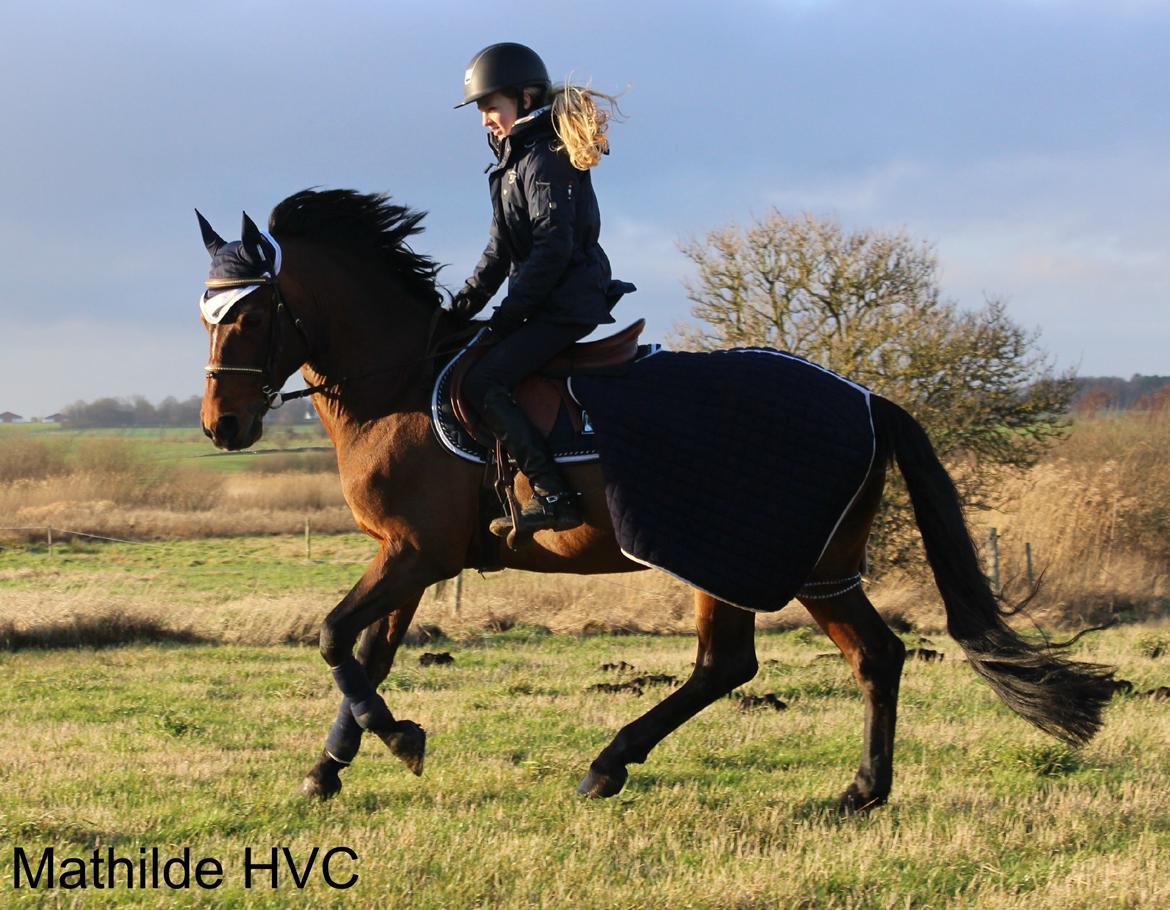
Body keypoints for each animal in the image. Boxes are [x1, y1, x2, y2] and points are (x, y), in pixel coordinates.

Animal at [195, 189, 1115, 811]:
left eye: (251, 316)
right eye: (207, 315)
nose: (222, 426)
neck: (396, 385)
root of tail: (862, 397)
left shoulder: (414, 552)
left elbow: (332, 636)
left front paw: (394, 741)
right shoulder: (413, 558)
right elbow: (368, 651)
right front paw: (331, 768)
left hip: (733, 557)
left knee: (731, 665)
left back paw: (608, 764)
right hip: (823, 567)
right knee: (870, 656)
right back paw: (861, 791)